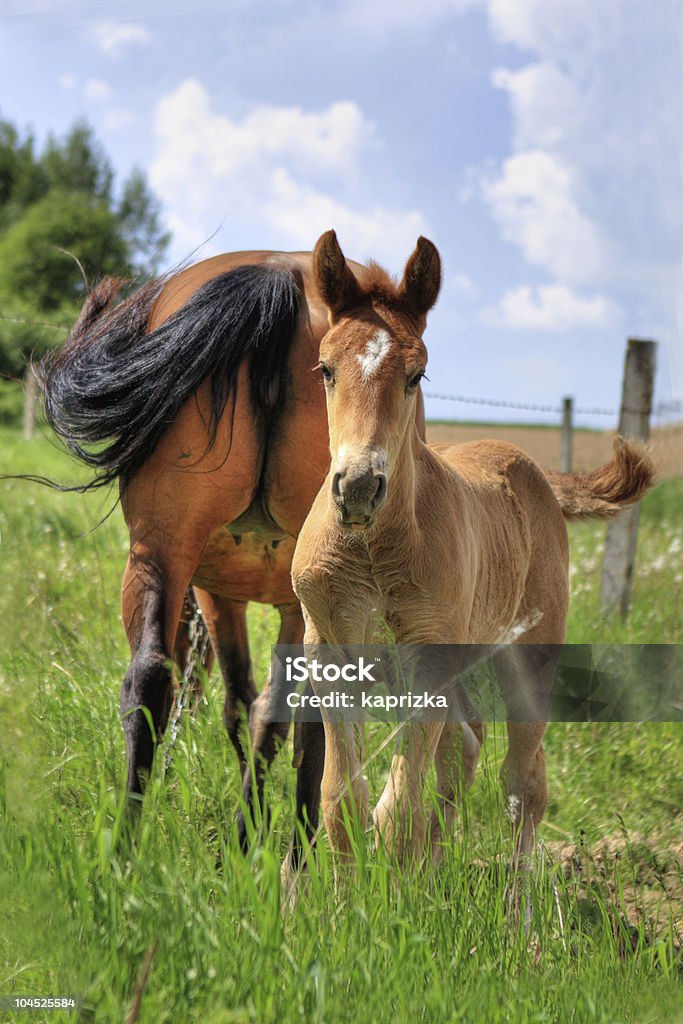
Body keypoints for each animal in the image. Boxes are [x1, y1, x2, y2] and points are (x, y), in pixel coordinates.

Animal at [290, 230, 655, 872]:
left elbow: (399, 811)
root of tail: (536, 471)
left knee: (524, 779)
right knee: (465, 748)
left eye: (417, 375)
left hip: (529, 655)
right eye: (326, 369)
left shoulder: (428, 658)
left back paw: (515, 899)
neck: (374, 548)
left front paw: (393, 894)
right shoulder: (329, 648)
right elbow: (342, 800)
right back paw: (437, 874)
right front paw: (348, 896)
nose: (358, 487)